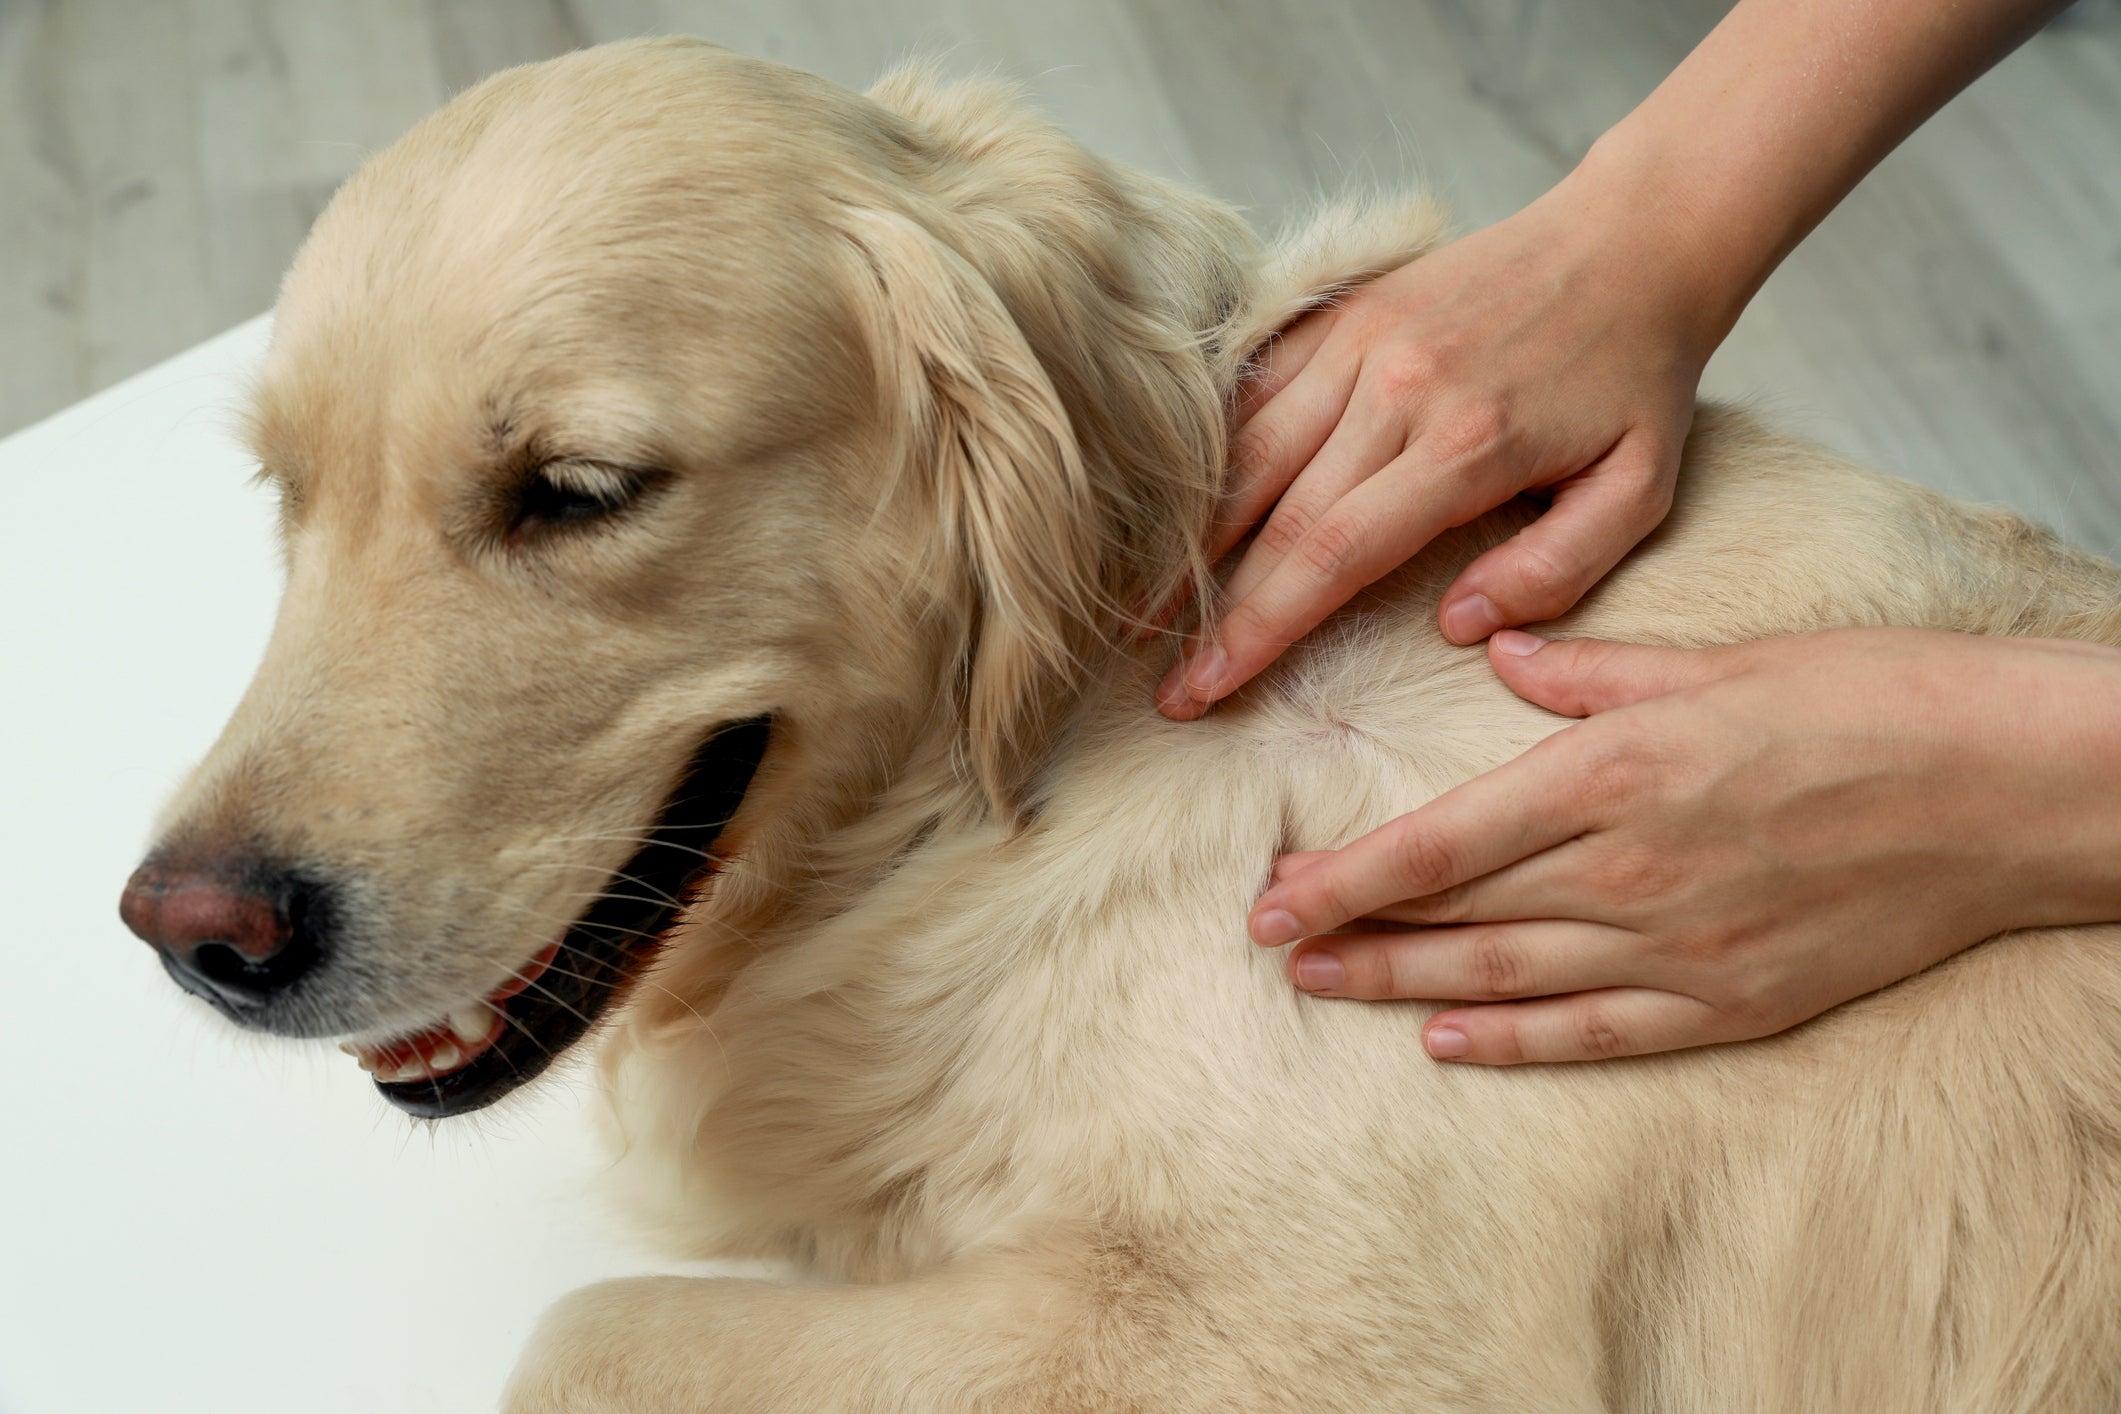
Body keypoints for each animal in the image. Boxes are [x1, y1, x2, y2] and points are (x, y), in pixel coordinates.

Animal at [120, 36, 2121, 1414]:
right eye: (286, 491)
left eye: (578, 491)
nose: (190, 934)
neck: (1057, 738)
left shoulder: (1295, 1341)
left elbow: (575, 1332)